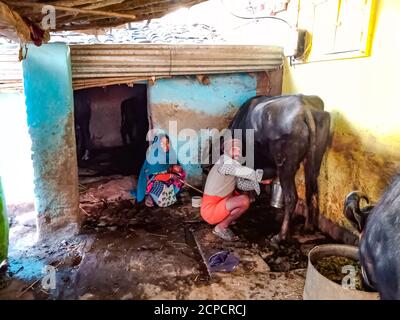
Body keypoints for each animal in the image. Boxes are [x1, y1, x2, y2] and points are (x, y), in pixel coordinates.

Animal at [228, 95, 332, 242]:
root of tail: (304, 108)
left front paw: (250, 197)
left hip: (285, 167)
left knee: (291, 197)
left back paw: (280, 235)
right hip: (314, 162)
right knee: (312, 192)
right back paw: (308, 227)